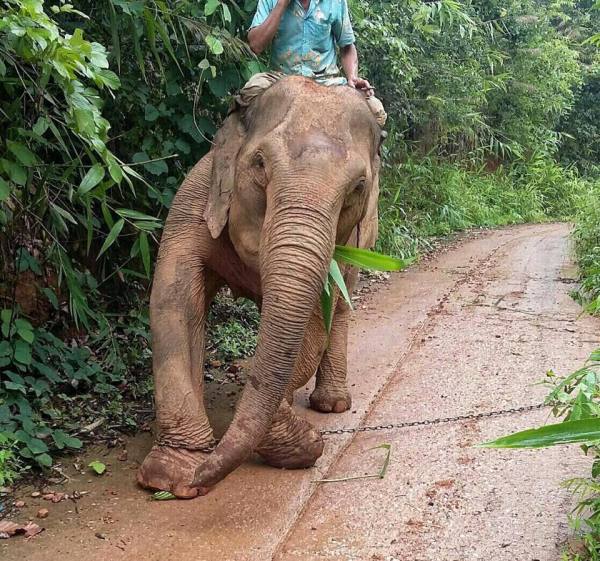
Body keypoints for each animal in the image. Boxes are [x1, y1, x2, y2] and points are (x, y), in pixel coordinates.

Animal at [137, 75, 382, 498]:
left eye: (357, 187)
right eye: (259, 163)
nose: (200, 479)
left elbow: (314, 320)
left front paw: (294, 437)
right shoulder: (195, 198)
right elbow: (173, 300)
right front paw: (172, 477)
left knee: (342, 307)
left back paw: (332, 405)